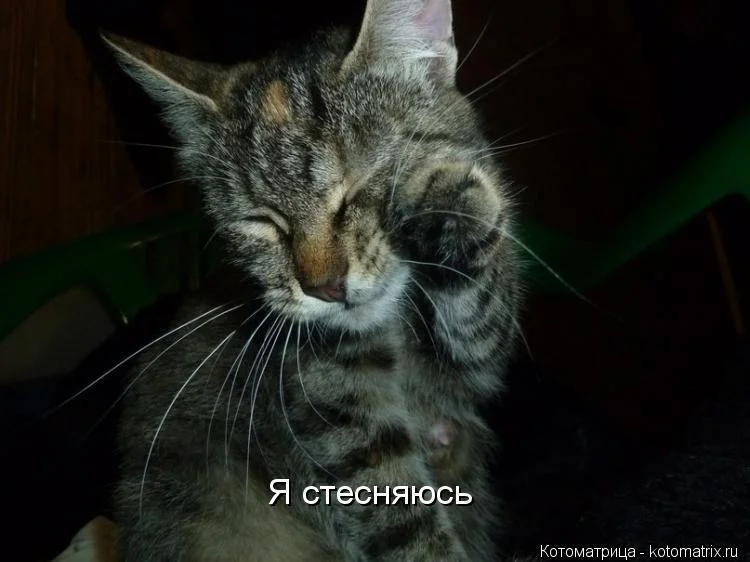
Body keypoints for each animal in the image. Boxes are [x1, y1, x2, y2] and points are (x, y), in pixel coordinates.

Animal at [103, 0, 524, 560]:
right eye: (263, 221)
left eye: (359, 188)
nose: (326, 287)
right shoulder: (331, 406)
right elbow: (399, 518)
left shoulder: (471, 370)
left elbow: (483, 315)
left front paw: (443, 189)